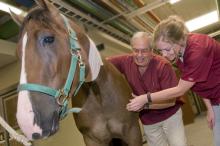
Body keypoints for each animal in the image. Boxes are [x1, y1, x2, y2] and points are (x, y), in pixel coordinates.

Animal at [11, 0, 143, 145]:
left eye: (48, 39)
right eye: (18, 53)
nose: (27, 123)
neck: (98, 95)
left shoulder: (133, 133)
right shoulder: (92, 139)